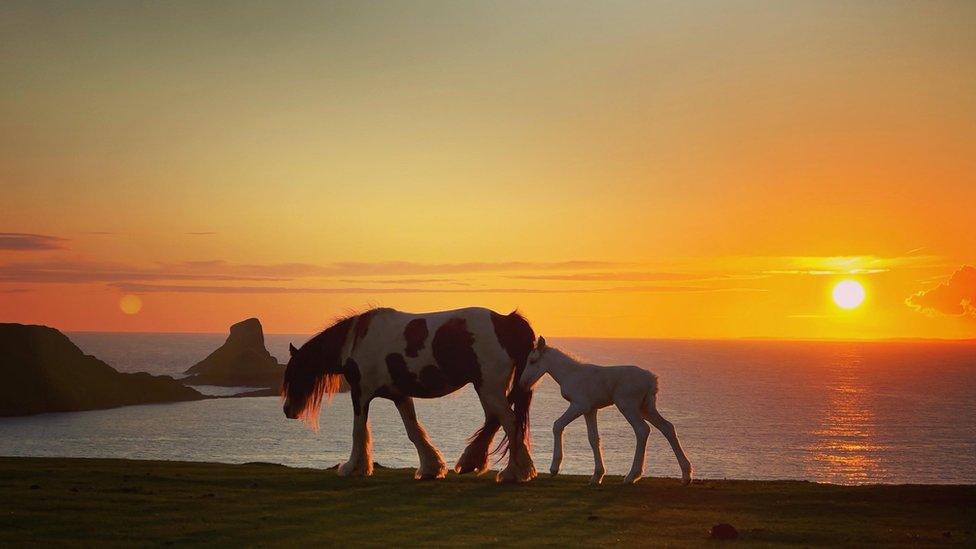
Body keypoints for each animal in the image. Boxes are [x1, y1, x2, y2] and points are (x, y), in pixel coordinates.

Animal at [282, 306, 540, 482]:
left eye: (293, 374)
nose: (287, 411)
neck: (355, 342)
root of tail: (506, 322)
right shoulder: (400, 396)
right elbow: (414, 431)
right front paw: (431, 468)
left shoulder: (360, 394)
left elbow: (358, 431)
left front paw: (351, 467)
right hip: (488, 389)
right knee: (495, 420)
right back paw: (474, 461)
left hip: (489, 389)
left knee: (510, 422)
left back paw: (513, 472)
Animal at [524, 334, 692, 484]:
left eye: (532, 361)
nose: (523, 382)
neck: (570, 374)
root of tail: (652, 380)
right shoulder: (590, 409)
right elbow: (593, 438)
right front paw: (597, 476)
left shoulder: (579, 405)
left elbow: (558, 425)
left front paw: (554, 468)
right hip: (646, 407)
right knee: (667, 427)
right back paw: (686, 475)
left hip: (628, 405)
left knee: (642, 430)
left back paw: (632, 476)